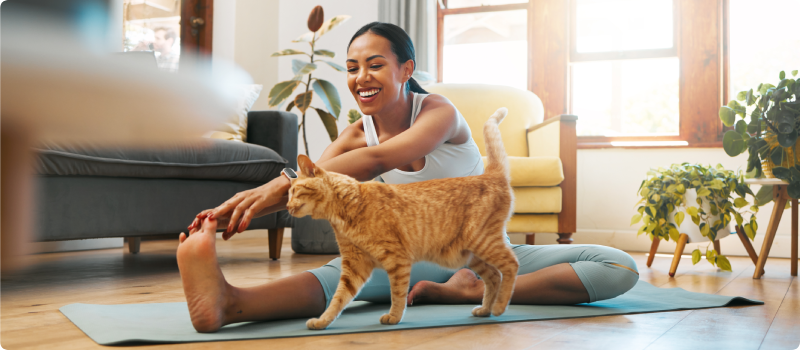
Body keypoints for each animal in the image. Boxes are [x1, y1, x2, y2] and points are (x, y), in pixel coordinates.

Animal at [288, 107, 520, 330]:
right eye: (288, 194)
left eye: (293, 191)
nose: (287, 207)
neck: (347, 208)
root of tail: (491, 175)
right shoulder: (354, 266)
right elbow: (338, 299)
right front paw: (323, 321)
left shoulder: (396, 259)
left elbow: (397, 293)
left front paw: (394, 316)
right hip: (471, 254)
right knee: (494, 276)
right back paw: (485, 309)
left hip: (482, 240)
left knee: (511, 265)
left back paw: (499, 307)